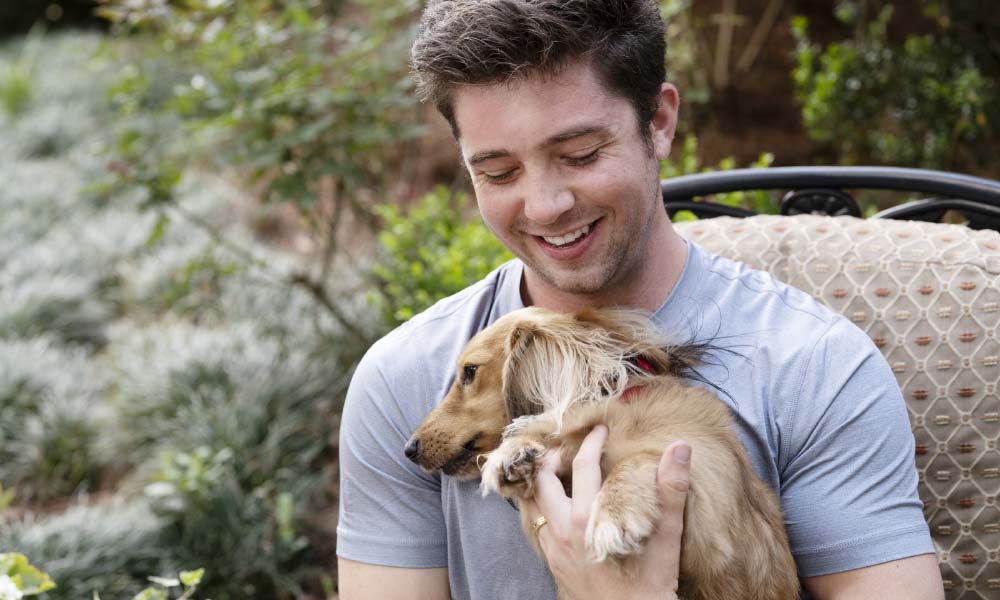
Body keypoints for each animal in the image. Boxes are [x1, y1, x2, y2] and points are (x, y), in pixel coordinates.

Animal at [404, 308, 796, 596]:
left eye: (470, 372)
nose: (409, 449)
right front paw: (513, 454)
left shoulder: (709, 514)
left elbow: (640, 456)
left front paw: (614, 515)